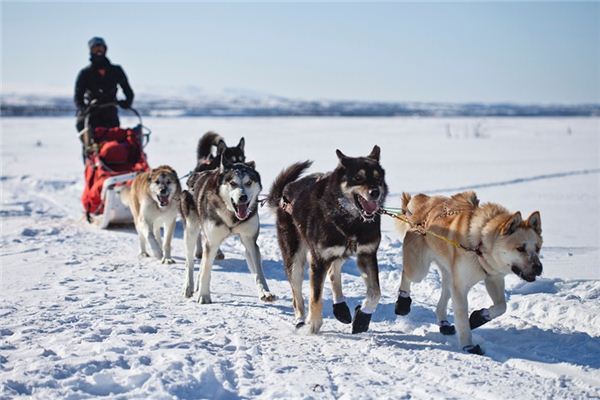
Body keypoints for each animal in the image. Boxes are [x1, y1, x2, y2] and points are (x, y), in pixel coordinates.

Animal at [179, 156, 276, 304]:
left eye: (248, 182)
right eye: (233, 183)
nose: (243, 197)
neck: (232, 216)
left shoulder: (250, 241)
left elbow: (258, 271)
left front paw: (265, 292)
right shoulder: (213, 242)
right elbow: (206, 269)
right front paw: (204, 295)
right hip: (191, 231)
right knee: (189, 262)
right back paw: (188, 286)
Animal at [268, 147, 390, 334]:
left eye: (378, 178)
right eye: (358, 178)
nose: (375, 192)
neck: (351, 222)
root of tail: (285, 193)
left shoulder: (367, 254)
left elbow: (375, 292)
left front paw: (362, 317)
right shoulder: (319, 260)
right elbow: (315, 296)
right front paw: (314, 324)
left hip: (341, 253)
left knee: (333, 272)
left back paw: (340, 308)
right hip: (294, 259)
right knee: (297, 295)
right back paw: (301, 320)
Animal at [394, 192, 544, 354]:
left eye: (537, 248)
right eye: (520, 248)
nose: (539, 268)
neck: (480, 245)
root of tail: (423, 201)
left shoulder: (493, 278)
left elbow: (502, 306)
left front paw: (479, 317)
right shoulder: (460, 288)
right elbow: (462, 320)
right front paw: (468, 345)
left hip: (449, 276)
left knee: (442, 299)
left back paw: (444, 323)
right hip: (419, 270)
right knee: (406, 275)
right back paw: (402, 302)